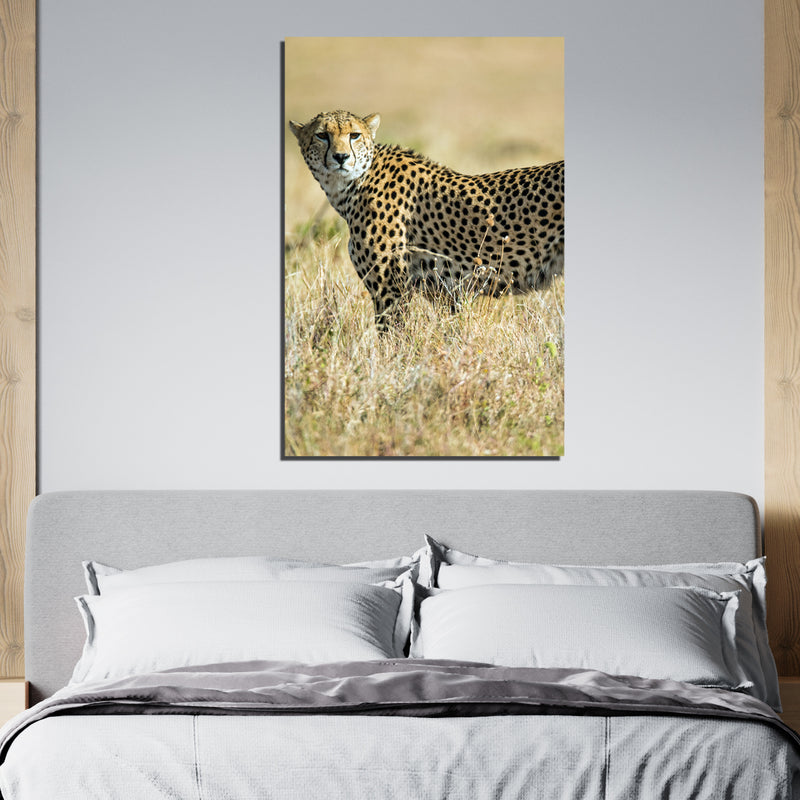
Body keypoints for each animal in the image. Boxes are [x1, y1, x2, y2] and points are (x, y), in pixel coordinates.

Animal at [289, 109, 564, 332]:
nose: (341, 157)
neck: (352, 184)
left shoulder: (391, 290)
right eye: (322, 136)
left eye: (354, 135)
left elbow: (394, 340)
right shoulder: (445, 294)